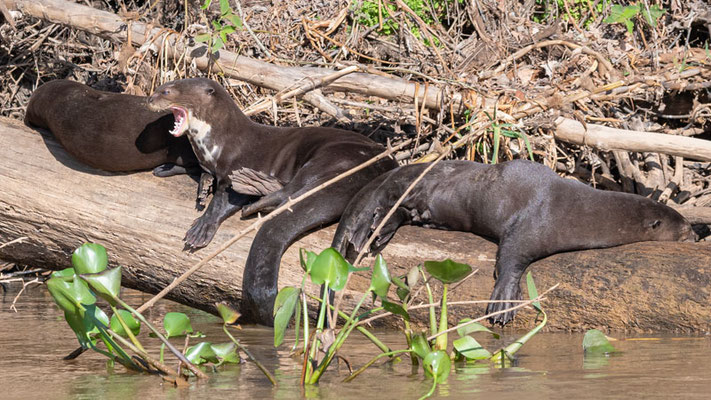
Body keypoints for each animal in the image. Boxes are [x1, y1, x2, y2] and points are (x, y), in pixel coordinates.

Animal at [147, 77, 398, 324]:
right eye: (160, 87)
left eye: (167, 91)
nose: (150, 99)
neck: (218, 143)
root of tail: (382, 163)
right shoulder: (207, 163)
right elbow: (201, 171)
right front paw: (171, 169)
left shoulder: (238, 167)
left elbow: (223, 200)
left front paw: (202, 227)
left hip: (331, 158)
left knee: (290, 192)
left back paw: (256, 197)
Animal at [332, 159, 696, 324]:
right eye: (685, 227)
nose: (695, 235)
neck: (585, 213)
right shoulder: (533, 223)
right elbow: (510, 258)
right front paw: (503, 302)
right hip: (420, 185)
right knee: (392, 204)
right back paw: (374, 233)